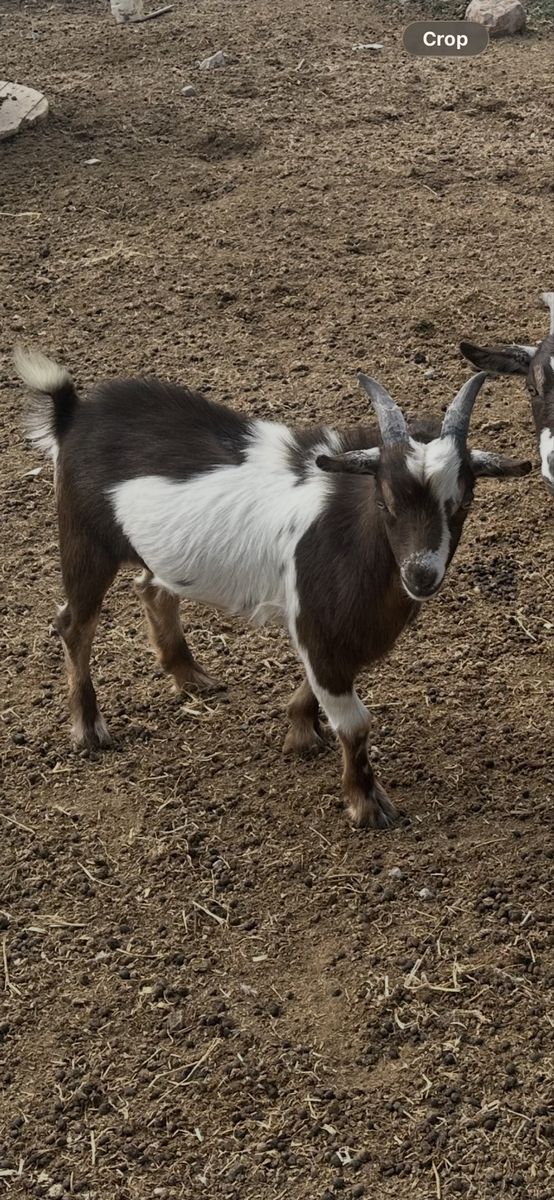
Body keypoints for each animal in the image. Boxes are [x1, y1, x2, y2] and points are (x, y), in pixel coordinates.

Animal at [15, 348, 531, 829]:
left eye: (463, 502)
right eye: (385, 501)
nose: (422, 574)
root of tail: (75, 413)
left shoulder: (329, 630)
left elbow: (319, 684)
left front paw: (301, 730)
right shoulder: (319, 622)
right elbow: (355, 722)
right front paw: (367, 804)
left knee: (152, 587)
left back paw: (191, 676)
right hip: (85, 541)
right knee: (74, 624)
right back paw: (89, 729)